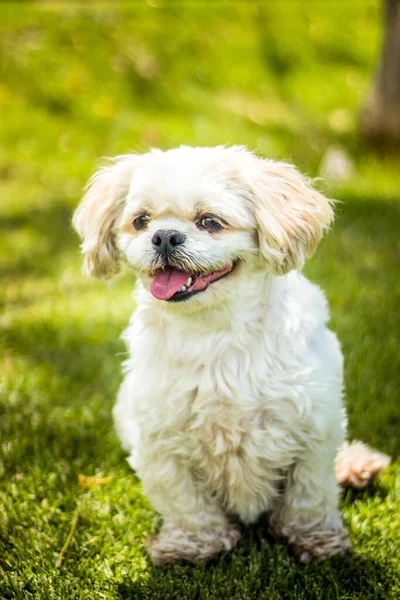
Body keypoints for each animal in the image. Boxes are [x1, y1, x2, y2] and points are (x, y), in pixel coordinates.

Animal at [73, 145, 390, 564]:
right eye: (141, 220)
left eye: (210, 222)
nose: (164, 236)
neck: (216, 332)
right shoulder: (161, 441)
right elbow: (185, 502)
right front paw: (195, 544)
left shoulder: (313, 429)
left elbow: (310, 495)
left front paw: (316, 540)